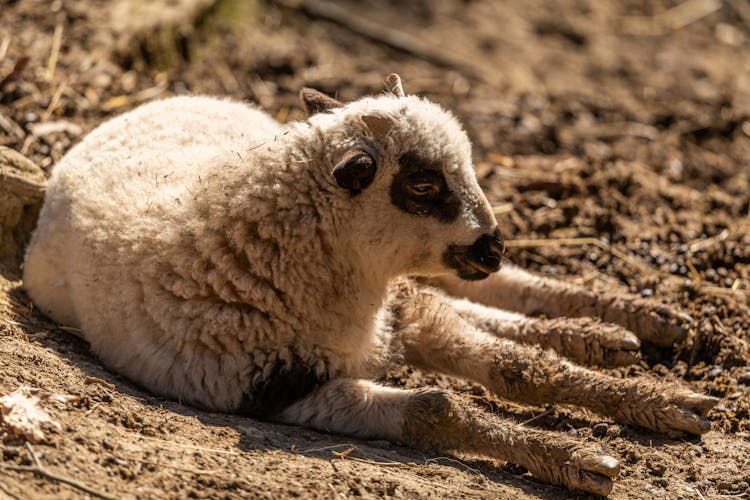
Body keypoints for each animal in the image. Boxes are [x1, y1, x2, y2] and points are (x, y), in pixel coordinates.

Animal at [22, 75, 716, 496]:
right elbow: (440, 408)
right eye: (423, 186)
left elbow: (519, 367)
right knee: (467, 298)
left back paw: (638, 323)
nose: (493, 244)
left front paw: (669, 405)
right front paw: (579, 460)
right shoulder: (282, 390)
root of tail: (135, 109)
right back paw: (612, 337)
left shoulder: (394, 314)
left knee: (490, 295)